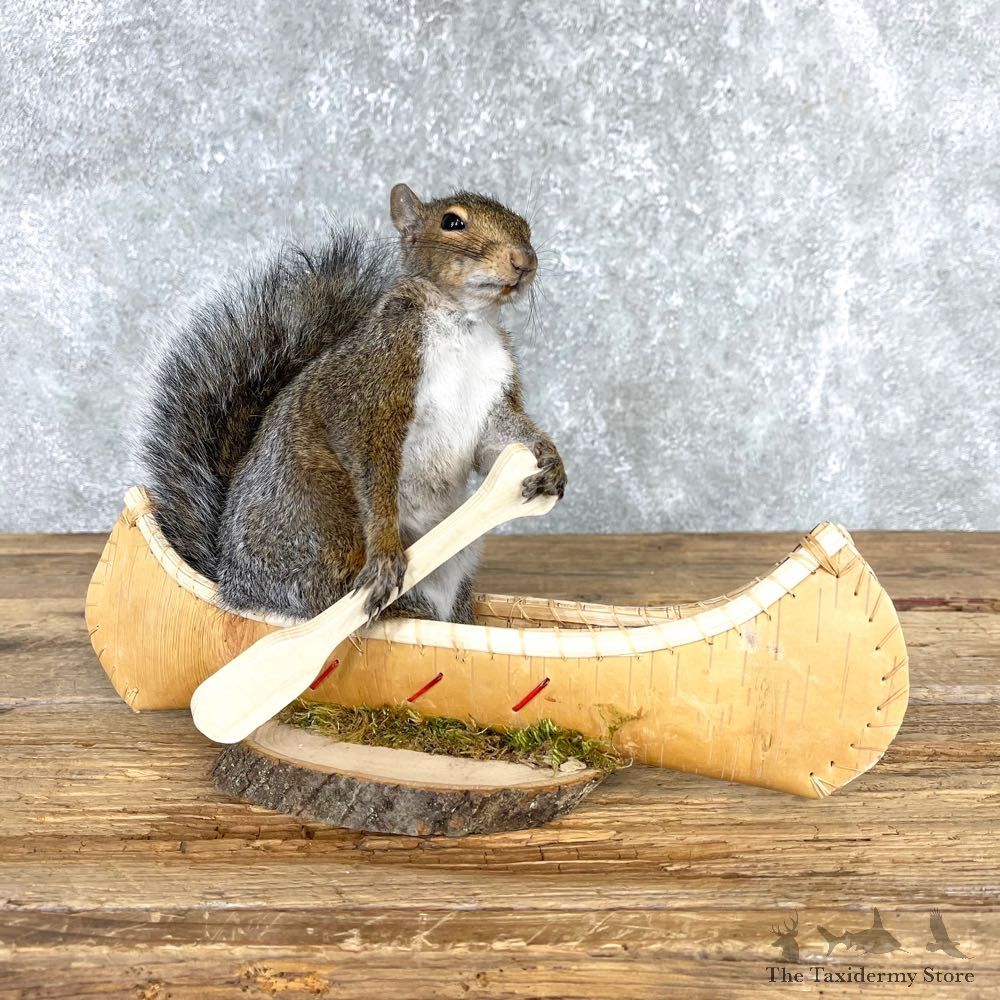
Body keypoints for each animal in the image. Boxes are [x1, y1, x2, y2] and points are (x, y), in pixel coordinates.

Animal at [140, 183, 566, 624]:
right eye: (452, 222)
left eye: (526, 227)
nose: (524, 261)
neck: (466, 324)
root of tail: (235, 585)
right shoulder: (371, 387)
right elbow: (371, 463)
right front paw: (385, 554)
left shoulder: (492, 396)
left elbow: (495, 447)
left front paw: (549, 460)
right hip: (323, 529)